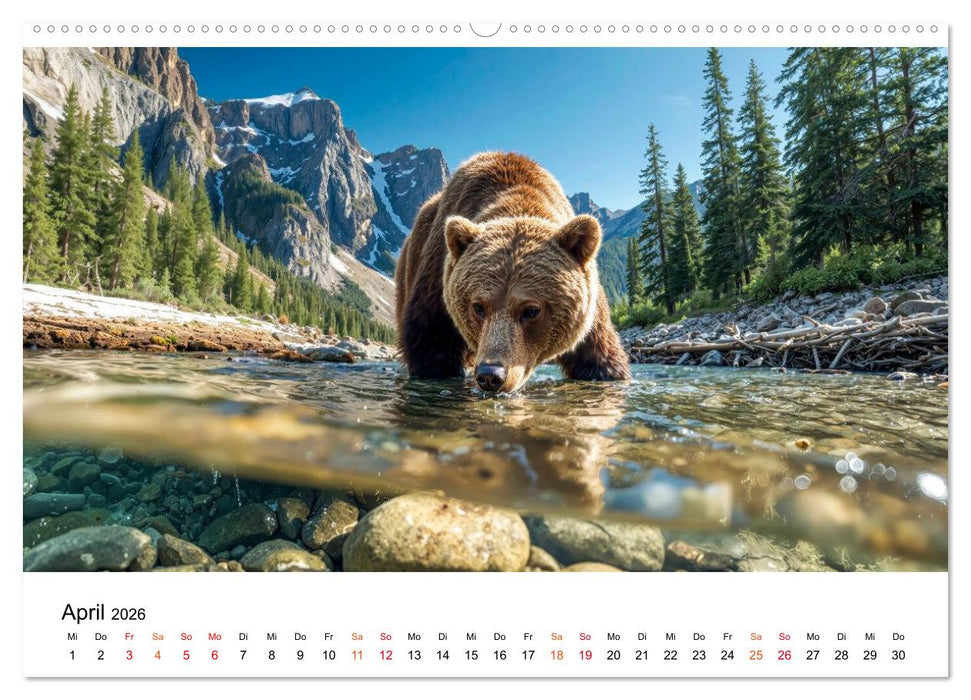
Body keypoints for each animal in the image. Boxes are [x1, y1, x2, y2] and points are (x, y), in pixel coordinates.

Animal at [395, 151, 631, 393]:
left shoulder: (589, 312)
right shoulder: (436, 283)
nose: (491, 375)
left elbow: (600, 357)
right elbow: (431, 345)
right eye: (478, 306)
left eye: (531, 310)